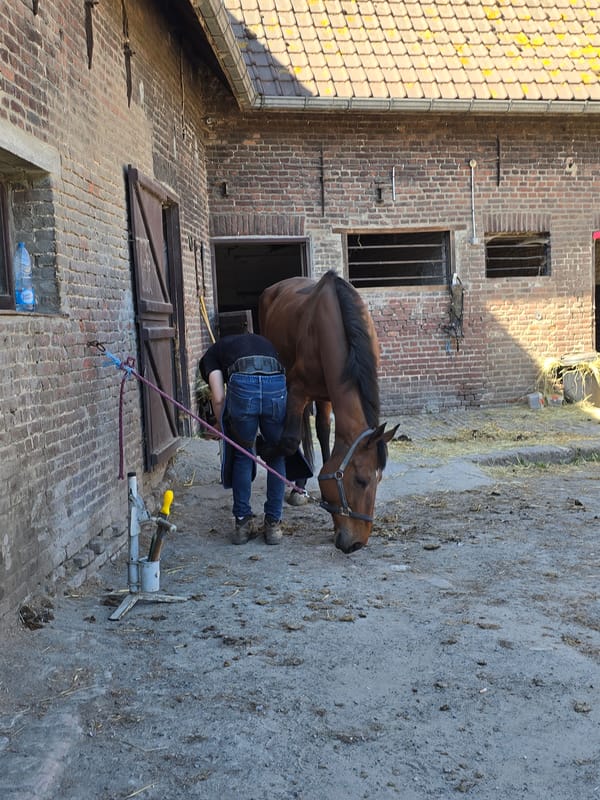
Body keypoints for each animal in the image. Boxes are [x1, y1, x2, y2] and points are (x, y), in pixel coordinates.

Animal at [259, 270, 398, 553]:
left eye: (379, 480)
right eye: (361, 480)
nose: (357, 543)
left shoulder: (330, 396)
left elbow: (325, 439)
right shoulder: (297, 389)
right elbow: (289, 441)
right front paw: (266, 451)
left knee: (321, 429)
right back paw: (297, 487)